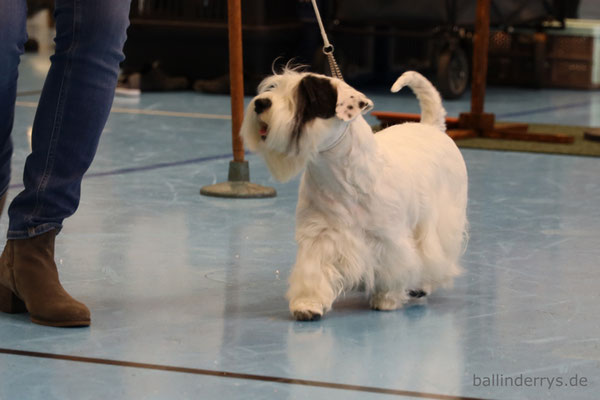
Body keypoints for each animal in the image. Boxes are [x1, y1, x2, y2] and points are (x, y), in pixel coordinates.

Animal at [240, 68, 468, 318]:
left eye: (306, 95)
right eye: (275, 86)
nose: (260, 103)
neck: (339, 174)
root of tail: (432, 127)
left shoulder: (388, 238)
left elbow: (394, 266)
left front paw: (386, 298)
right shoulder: (318, 235)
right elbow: (313, 270)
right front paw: (308, 304)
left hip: (439, 222)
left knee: (433, 254)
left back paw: (420, 285)